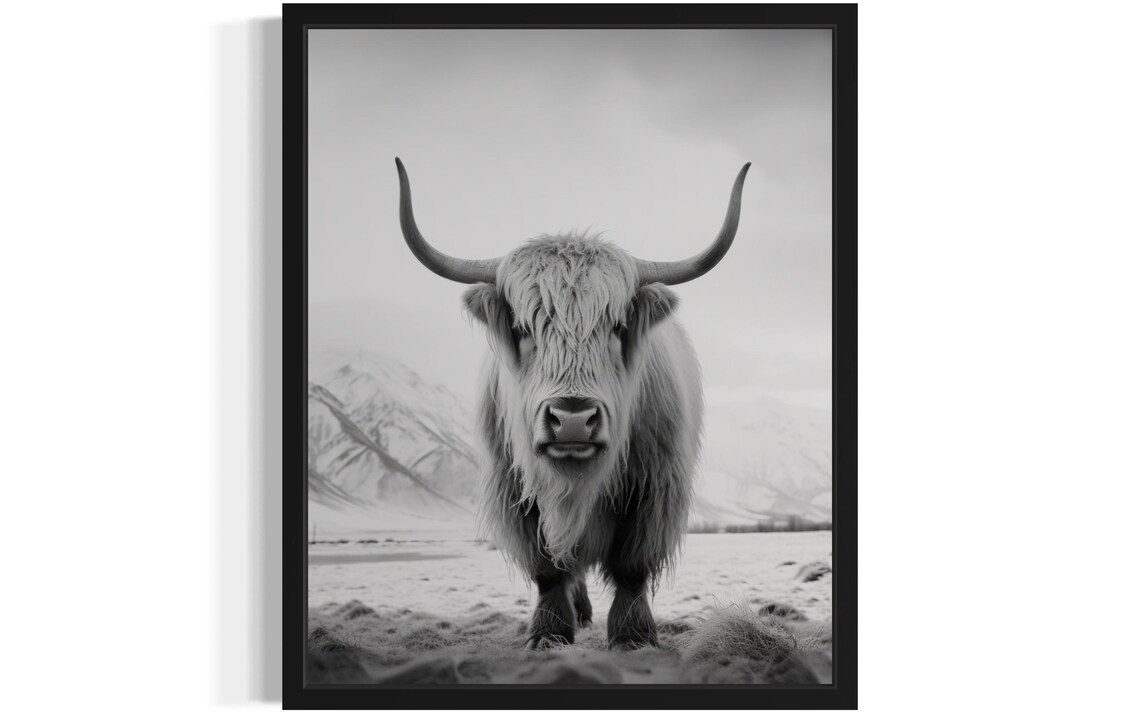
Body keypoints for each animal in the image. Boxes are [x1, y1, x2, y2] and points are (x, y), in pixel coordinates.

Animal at [394, 157, 749, 650]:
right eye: (523, 327)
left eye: (617, 326)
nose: (574, 419)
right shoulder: (514, 491)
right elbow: (547, 570)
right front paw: (548, 633)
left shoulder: (656, 489)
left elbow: (632, 567)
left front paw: (634, 636)